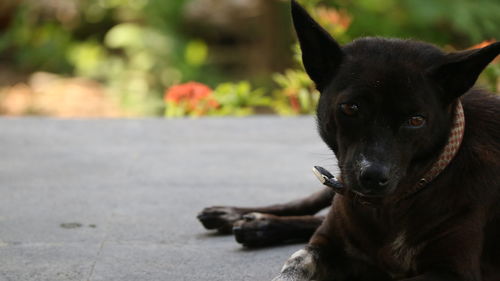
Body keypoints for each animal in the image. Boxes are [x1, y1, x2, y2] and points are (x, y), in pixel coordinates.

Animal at [197, 1, 498, 278]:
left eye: (416, 120)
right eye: (351, 108)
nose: (373, 176)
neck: (389, 208)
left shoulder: (452, 270)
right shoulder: (322, 244)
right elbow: (294, 263)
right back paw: (238, 216)